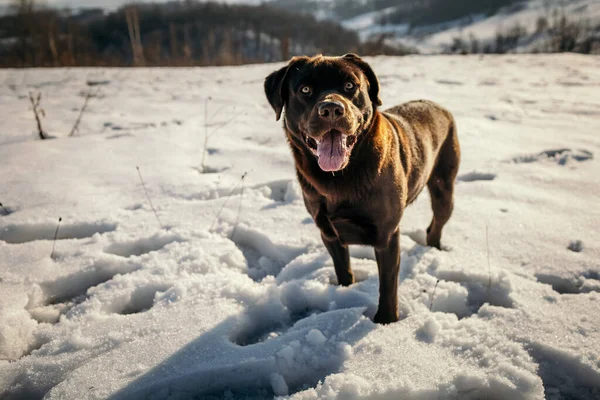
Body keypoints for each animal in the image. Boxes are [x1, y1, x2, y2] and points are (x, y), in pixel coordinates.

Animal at [264, 53, 460, 324]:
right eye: (305, 90)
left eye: (350, 86)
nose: (331, 109)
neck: (340, 177)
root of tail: (438, 105)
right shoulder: (328, 231)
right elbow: (343, 268)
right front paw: (345, 292)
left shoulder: (387, 234)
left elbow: (388, 285)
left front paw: (386, 321)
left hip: (444, 187)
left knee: (436, 225)